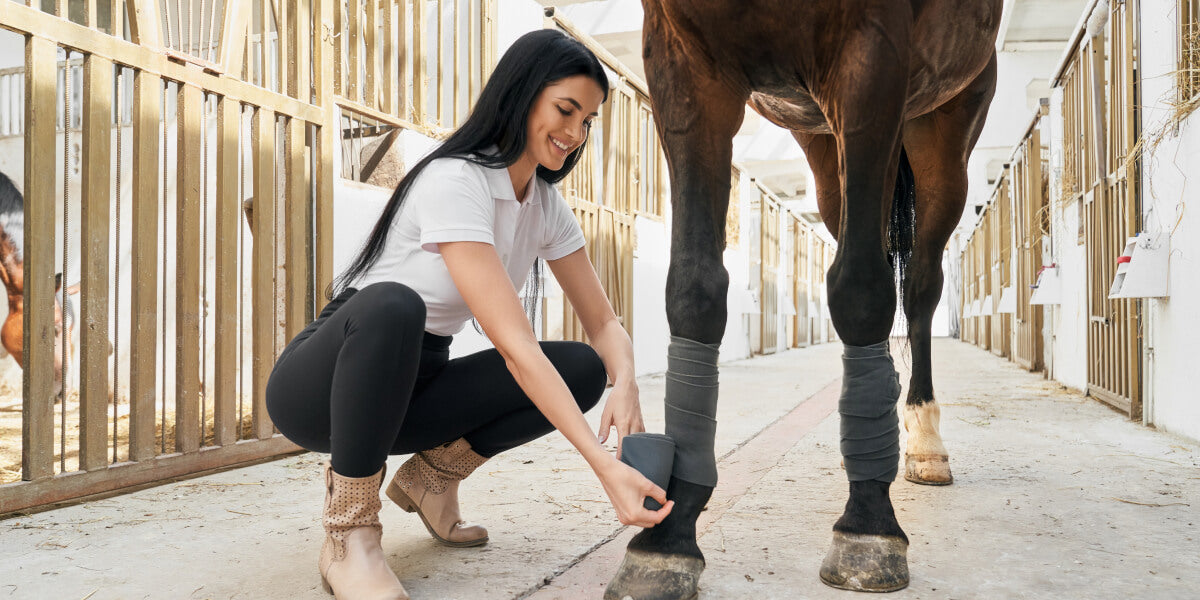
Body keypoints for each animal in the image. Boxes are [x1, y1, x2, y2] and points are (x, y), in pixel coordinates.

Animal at [609, 2, 1003, 597]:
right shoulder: (685, 68)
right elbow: (694, 290)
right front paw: (668, 537)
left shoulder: (872, 60)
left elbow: (862, 291)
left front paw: (868, 525)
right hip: (829, 150)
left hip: (941, 134)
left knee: (919, 287)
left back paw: (924, 440)